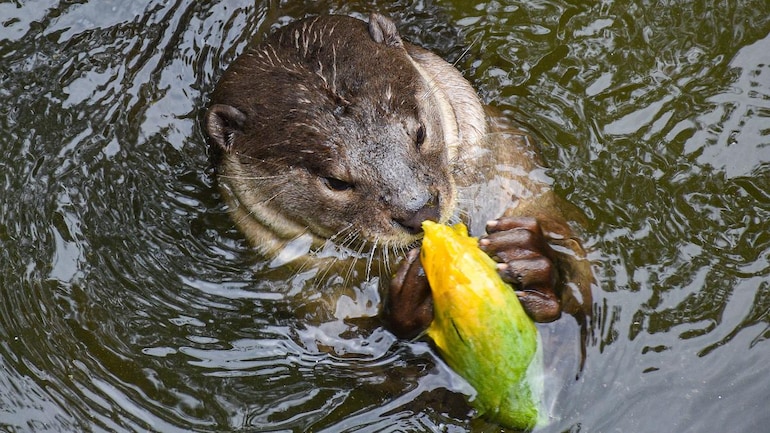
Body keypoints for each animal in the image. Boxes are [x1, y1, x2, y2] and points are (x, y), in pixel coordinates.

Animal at [205, 13, 593, 339]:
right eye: (336, 181)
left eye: (419, 133)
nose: (419, 209)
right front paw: (410, 297)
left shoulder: (519, 175)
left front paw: (530, 259)